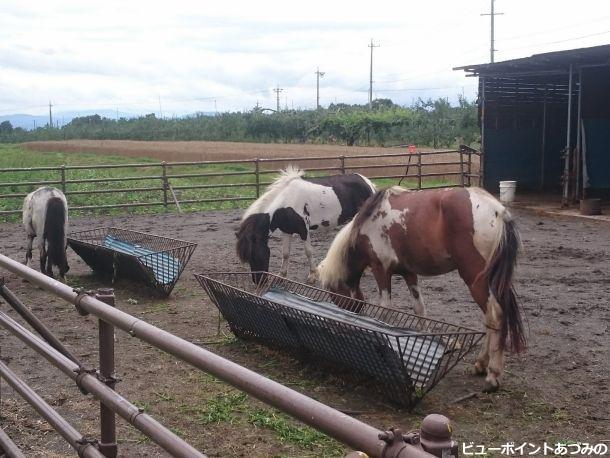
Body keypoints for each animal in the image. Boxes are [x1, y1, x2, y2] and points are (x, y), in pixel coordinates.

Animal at [235, 166, 372, 284]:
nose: (259, 282)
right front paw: (282, 276)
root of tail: (367, 182)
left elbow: (308, 251)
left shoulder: (303, 230)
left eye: (254, 255)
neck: (286, 202)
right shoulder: (286, 230)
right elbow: (285, 253)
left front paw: (312, 276)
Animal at [316, 184, 524, 392]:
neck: (368, 224)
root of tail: (499, 211)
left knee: (495, 316)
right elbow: (419, 309)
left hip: (475, 279)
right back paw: (481, 364)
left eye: (334, 294)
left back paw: (492, 375)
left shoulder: (380, 269)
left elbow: (384, 309)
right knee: (489, 317)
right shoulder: (409, 273)